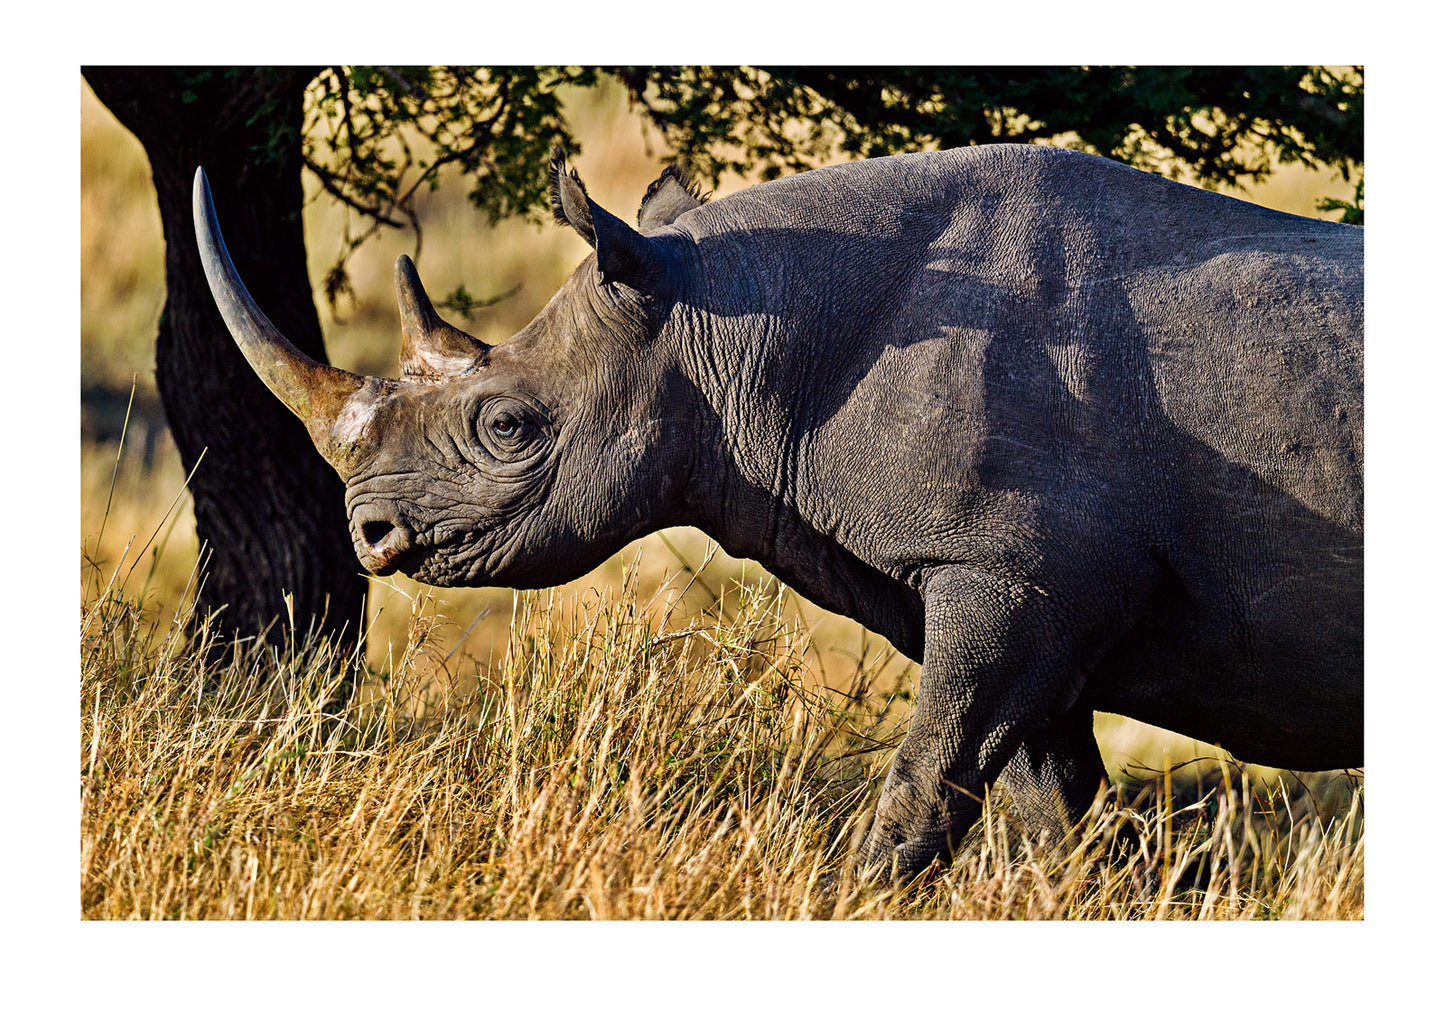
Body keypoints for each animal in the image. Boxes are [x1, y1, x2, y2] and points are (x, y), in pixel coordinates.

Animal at [192, 143, 1363, 878]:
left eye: (510, 427)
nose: (370, 535)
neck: (735, 320)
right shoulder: (1023, 576)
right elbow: (1047, 805)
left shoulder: (1015, 571)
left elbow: (925, 784)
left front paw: (847, 902)